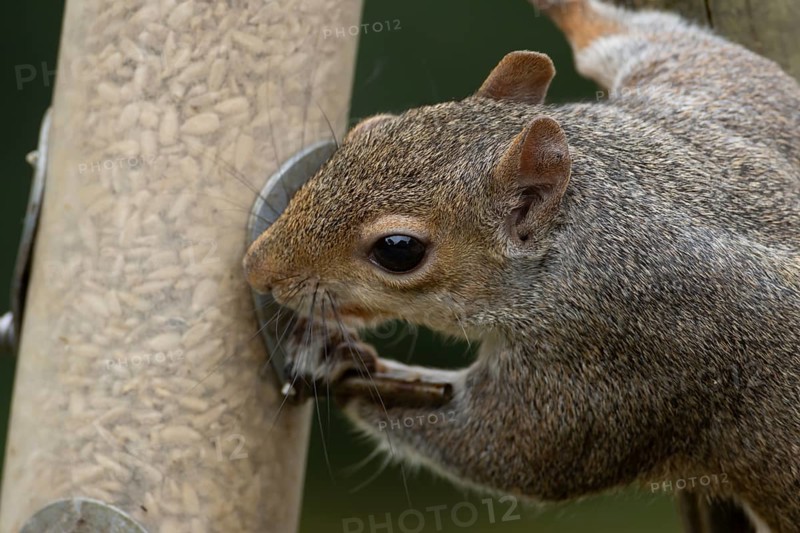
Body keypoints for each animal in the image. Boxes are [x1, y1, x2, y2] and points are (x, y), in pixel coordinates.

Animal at [243, 0, 800, 530]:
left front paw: (331, 361)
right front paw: (571, 10)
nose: (257, 268)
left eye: (398, 250)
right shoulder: (717, 109)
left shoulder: (619, 354)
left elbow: (508, 447)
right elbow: (697, 54)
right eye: (368, 129)